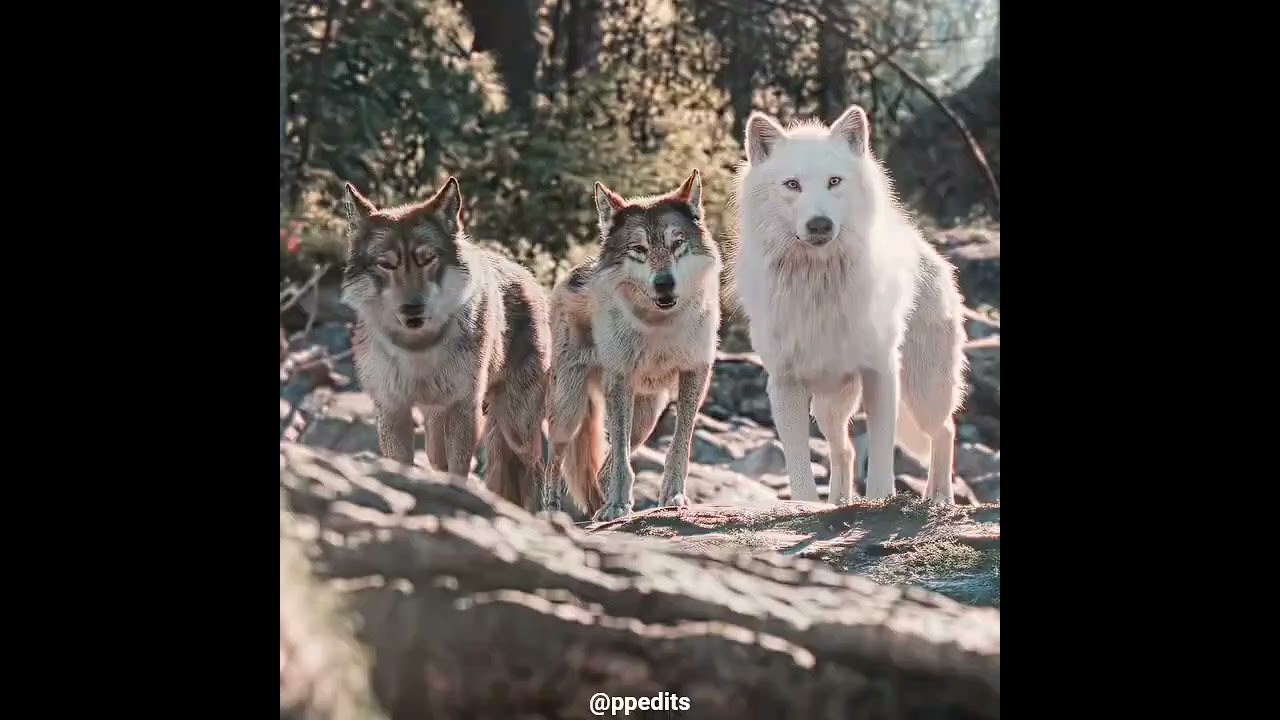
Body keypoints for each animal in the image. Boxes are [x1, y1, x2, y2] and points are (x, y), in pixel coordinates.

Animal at [340, 177, 550, 510]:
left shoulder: (463, 408)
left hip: (516, 429)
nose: (412, 309)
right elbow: (400, 464)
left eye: (427, 259)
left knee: (535, 470)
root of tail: (527, 276)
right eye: (386, 265)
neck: (418, 349)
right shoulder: (392, 409)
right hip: (438, 429)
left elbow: (459, 469)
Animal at [542, 170, 722, 521]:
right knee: (552, 461)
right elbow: (622, 457)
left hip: (646, 419)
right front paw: (617, 506)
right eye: (639, 248)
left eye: (676, 243)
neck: (659, 325)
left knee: (603, 467)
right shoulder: (620, 379)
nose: (664, 283)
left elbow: (679, 444)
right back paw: (552, 513)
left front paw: (673, 495)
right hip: (569, 411)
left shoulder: (696, 373)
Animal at [731, 104, 968, 505]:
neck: (819, 284)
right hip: (830, 407)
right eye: (792, 184)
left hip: (924, 393)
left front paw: (881, 501)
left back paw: (939, 499)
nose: (820, 225)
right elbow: (800, 469)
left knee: (944, 431)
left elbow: (882, 456)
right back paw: (839, 503)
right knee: (845, 451)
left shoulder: (880, 372)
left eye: (834, 181)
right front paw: (808, 508)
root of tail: (926, 249)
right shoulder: (784, 384)